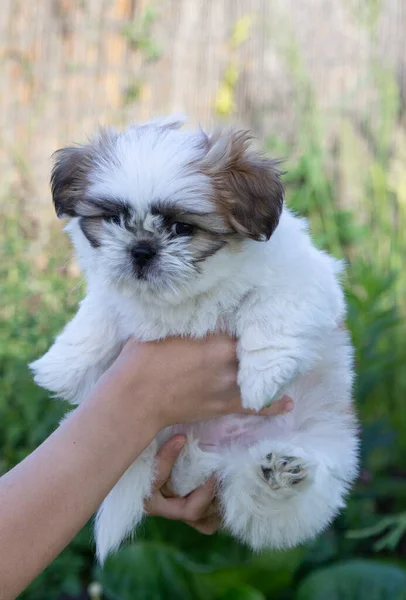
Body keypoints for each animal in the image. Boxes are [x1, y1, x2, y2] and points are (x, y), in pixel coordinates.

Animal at [30, 113, 358, 564]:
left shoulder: (302, 280)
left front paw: (261, 379)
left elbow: (270, 315)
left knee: (275, 508)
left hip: (326, 459)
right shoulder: (114, 294)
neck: (182, 298)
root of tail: (221, 458)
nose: (141, 249)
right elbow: (101, 312)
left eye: (182, 228)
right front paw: (61, 367)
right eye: (114, 218)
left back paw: (277, 474)